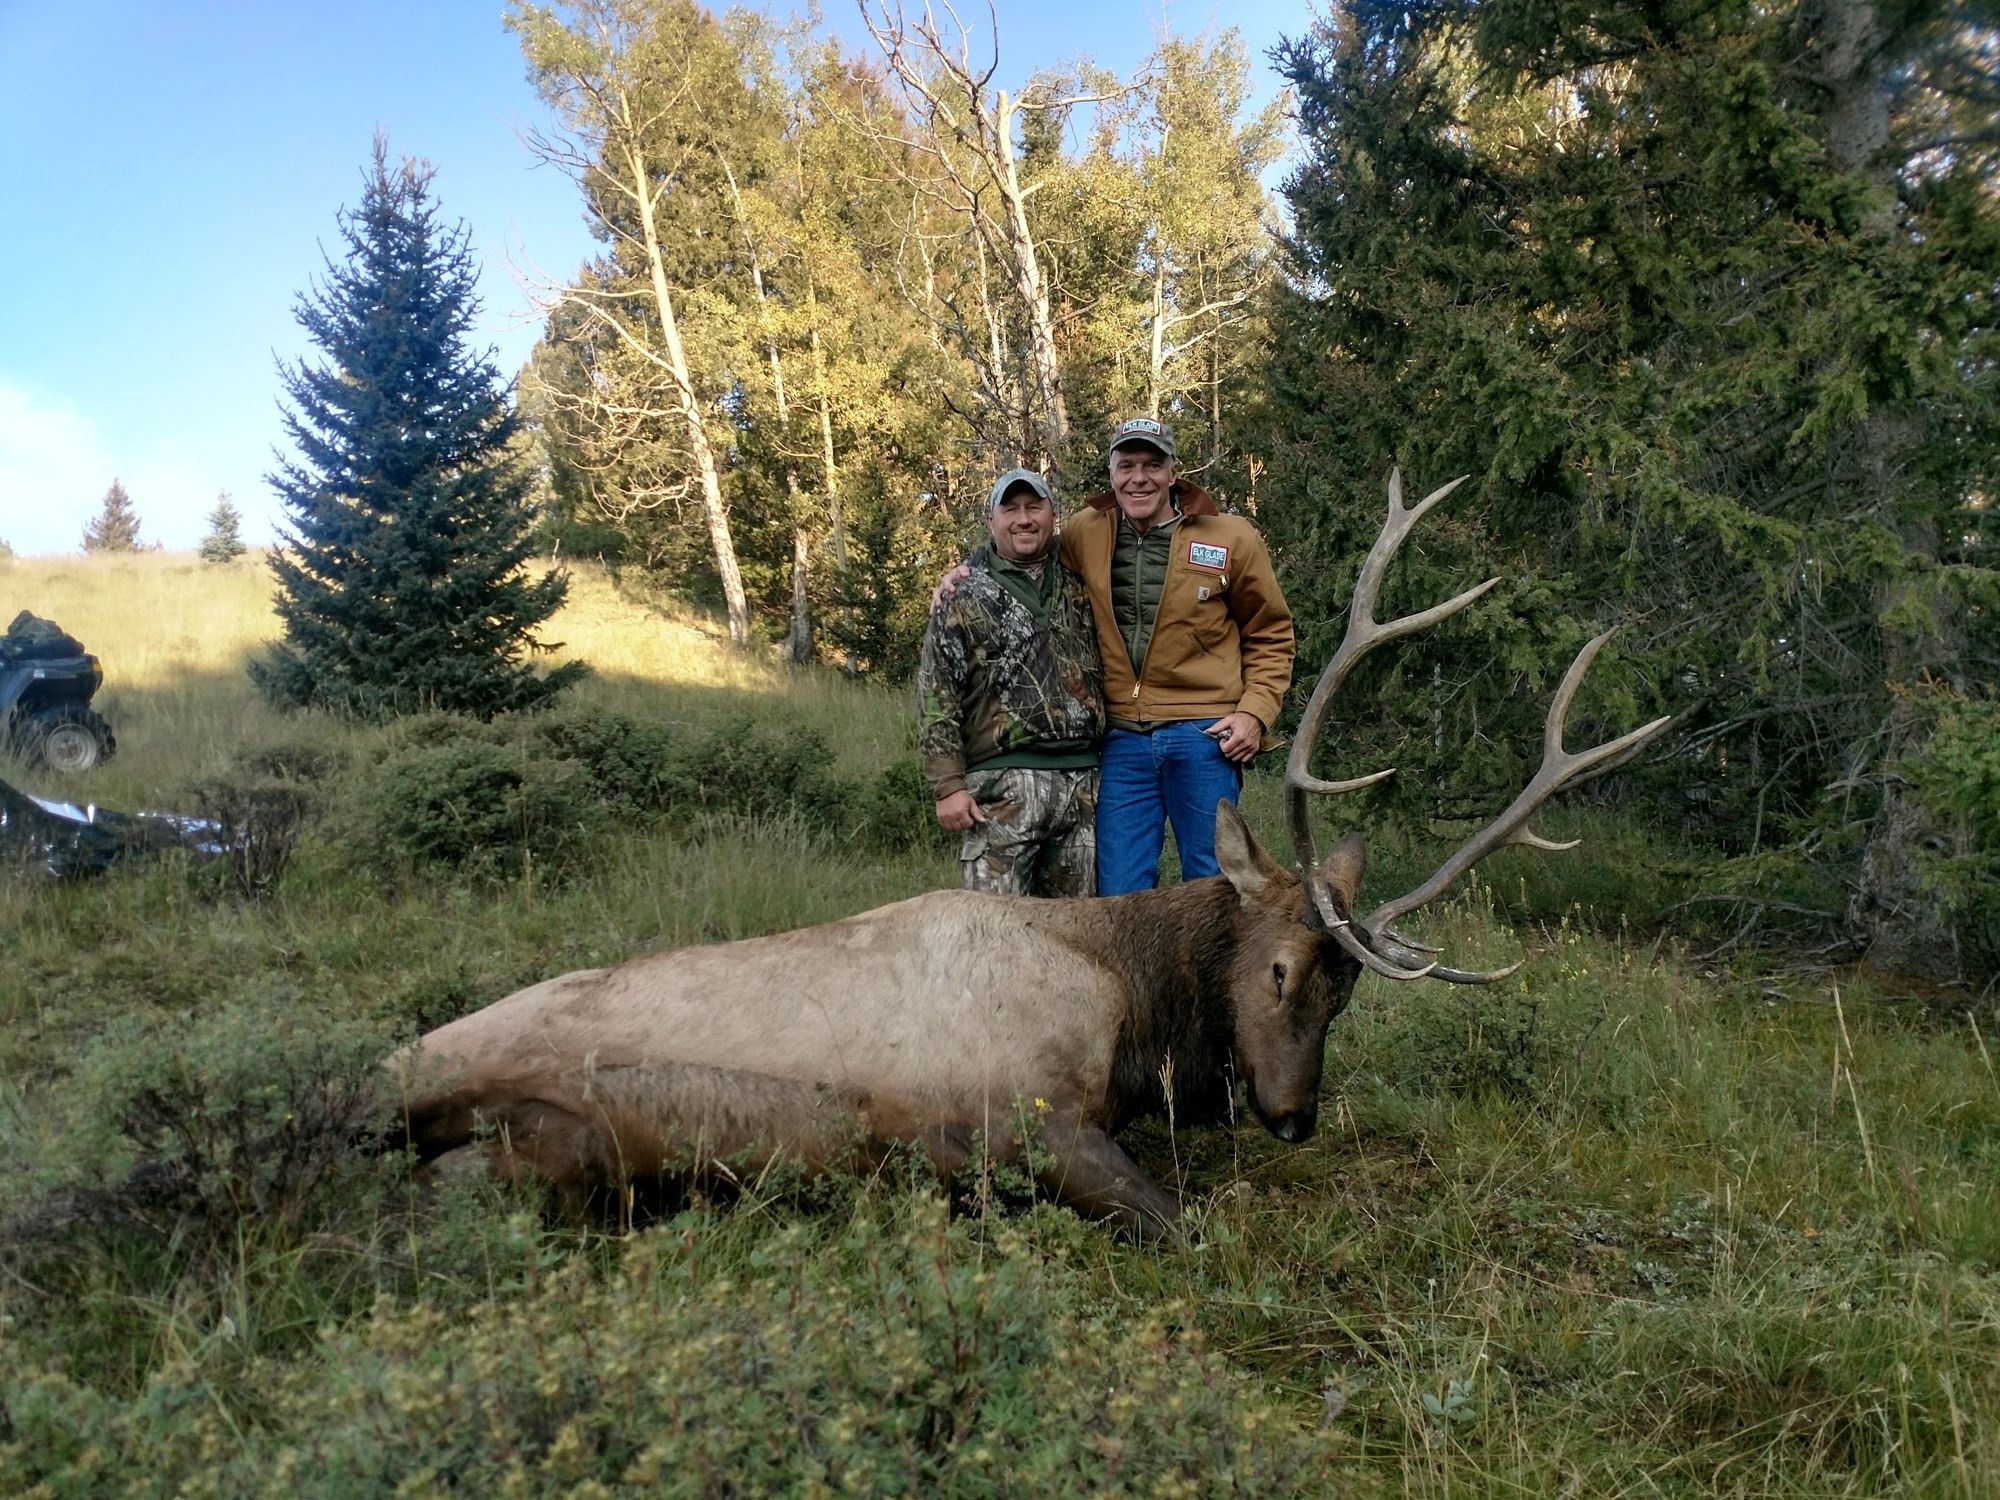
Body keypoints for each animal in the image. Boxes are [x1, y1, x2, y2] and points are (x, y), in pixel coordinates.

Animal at [389, 473, 1670, 1236]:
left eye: (1348, 992)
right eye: (1276, 970)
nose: (1293, 1117)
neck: (1134, 998)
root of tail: (370, 1084)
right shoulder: (1030, 1121)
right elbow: (1181, 1224)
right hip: (539, 1154)